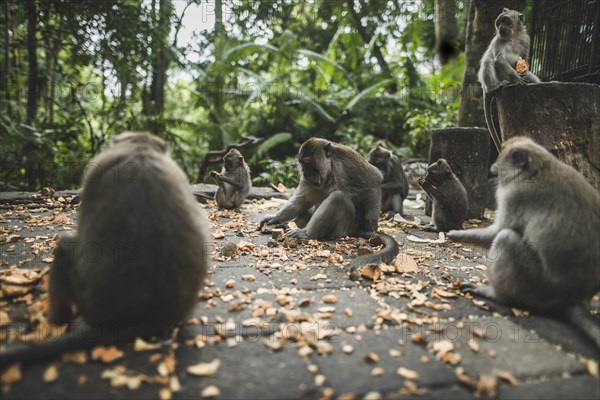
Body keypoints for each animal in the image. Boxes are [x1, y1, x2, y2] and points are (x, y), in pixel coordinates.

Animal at [0, 132, 211, 372]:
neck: (140, 150)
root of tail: (148, 317)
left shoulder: (95, 171)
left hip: (88, 304)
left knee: (64, 249)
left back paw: (56, 321)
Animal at [450, 137, 600, 350]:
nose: (493, 175)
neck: (536, 168)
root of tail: (574, 298)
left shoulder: (516, 195)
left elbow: (497, 231)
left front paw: (456, 234)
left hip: (537, 285)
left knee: (505, 238)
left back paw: (495, 294)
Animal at [480, 8, 540, 152]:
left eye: (505, 20)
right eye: (498, 23)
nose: (501, 27)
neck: (515, 36)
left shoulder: (526, 40)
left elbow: (525, 60)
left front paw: (524, 70)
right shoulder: (499, 41)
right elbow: (499, 60)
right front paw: (515, 77)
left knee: (529, 75)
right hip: (498, 78)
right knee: (489, 60)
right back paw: (494, 86)